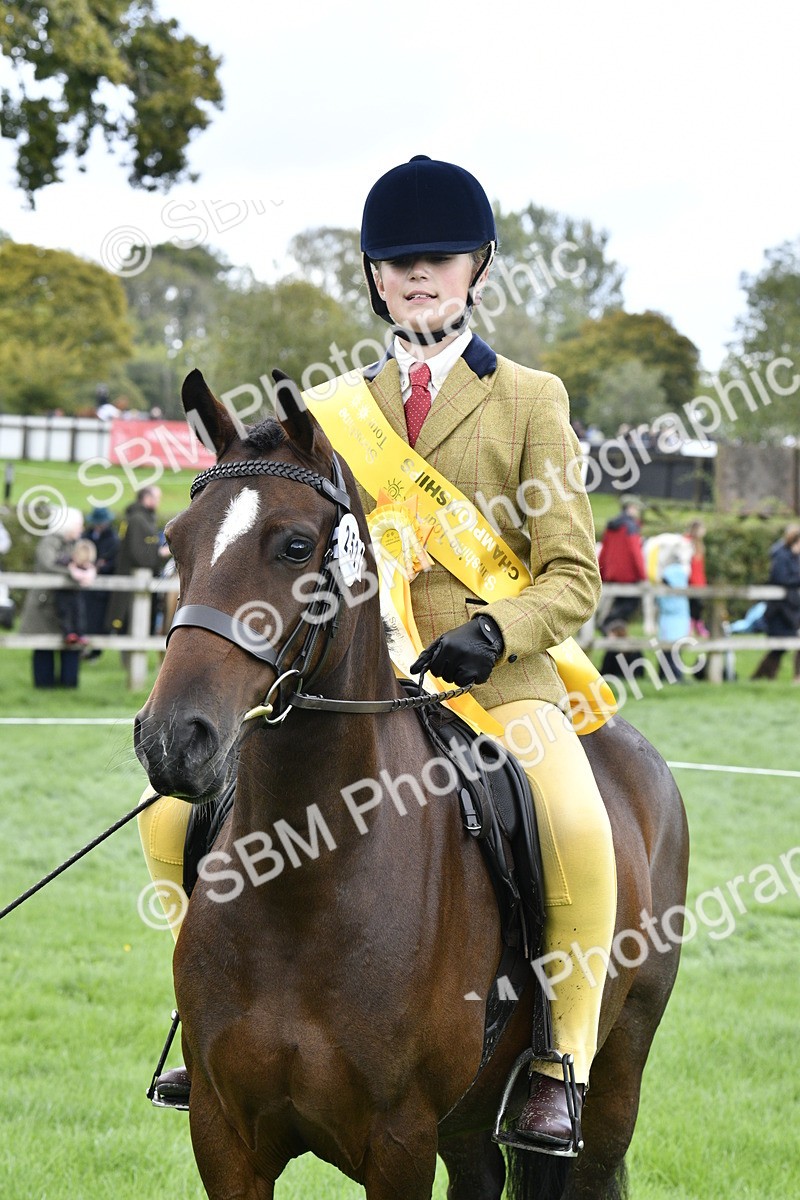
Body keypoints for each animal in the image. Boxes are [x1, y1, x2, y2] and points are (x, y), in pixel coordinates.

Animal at [134, 368, 689, 1200]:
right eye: (174, 542)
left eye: (295, 546)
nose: (172, 738)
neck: (307, 875)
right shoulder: (224, 1136)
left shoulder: (399, 1142)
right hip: (467, 1122)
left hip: (616, 1070)